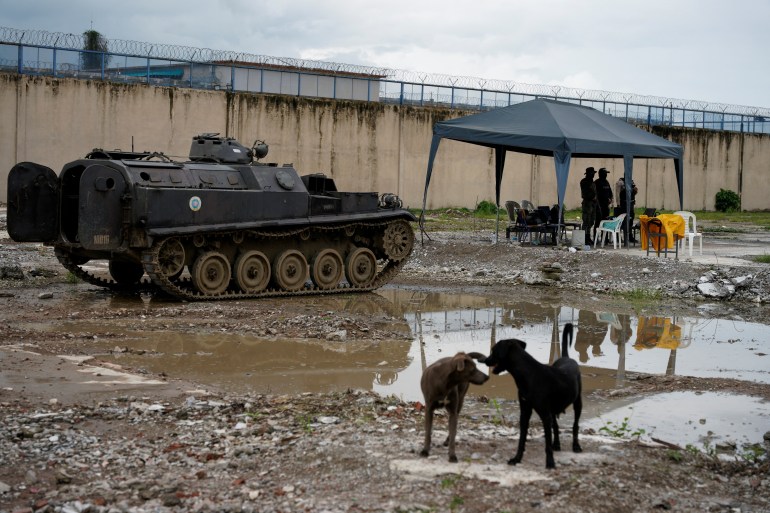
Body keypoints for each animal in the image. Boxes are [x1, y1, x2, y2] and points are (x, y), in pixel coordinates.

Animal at [480, 324, 584, 468]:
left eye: (493, 350)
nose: (485, 360)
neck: (529, 374)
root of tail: (566, 357)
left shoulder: (545, 415)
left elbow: (547, 443)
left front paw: (550, 463)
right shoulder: (525, 412)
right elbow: (522, 439)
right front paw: (517, 458)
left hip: (577, 402)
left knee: (575, 425)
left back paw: (576, 446)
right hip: (553, 410)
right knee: (556, 426)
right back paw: (557, 444)